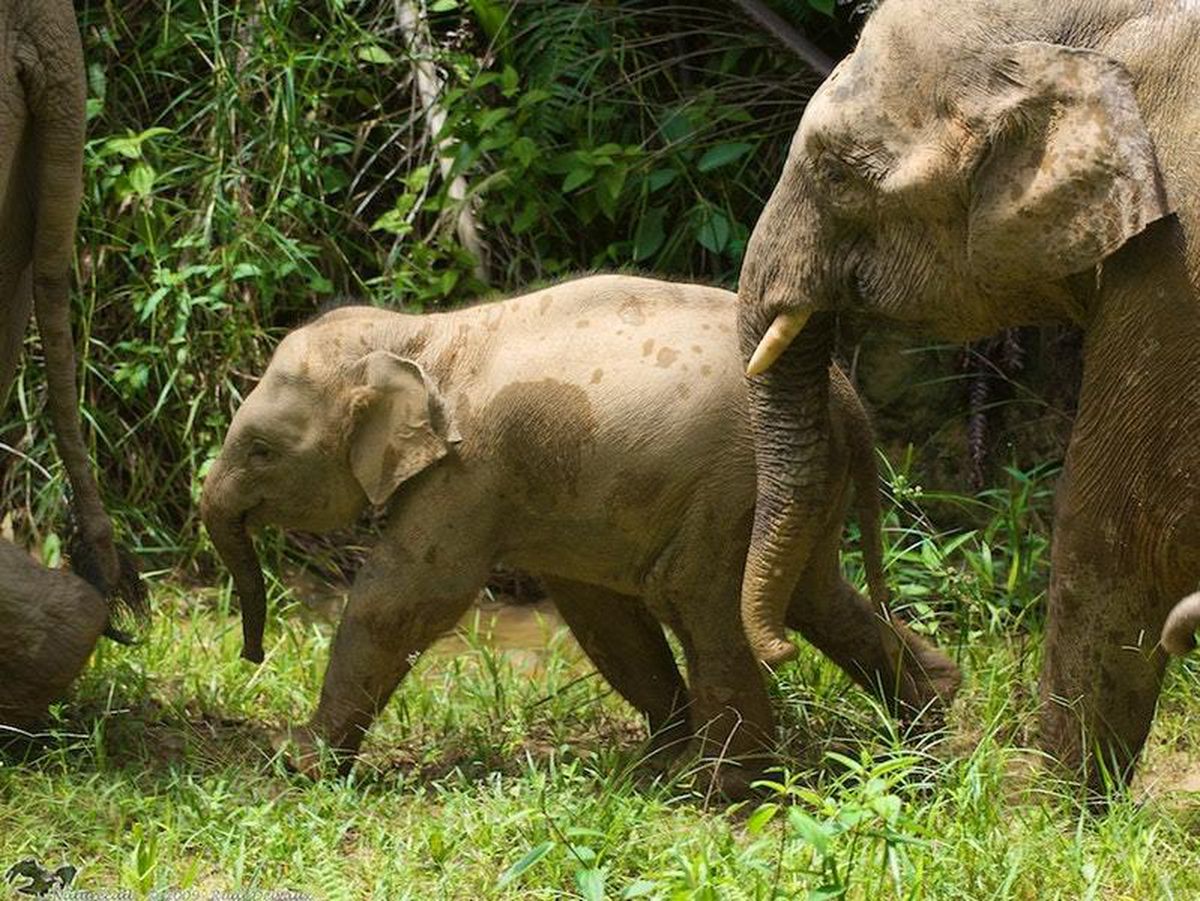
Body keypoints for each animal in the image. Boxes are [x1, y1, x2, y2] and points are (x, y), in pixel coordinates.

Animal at [201, 274, 960, 796]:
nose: (251, 655)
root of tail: (846, 396)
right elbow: (595, 610)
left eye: (262, 451)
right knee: (812, 593)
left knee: (698, 597)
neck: (416, 333)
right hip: (795, 486)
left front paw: (298, 763)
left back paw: (717, 788)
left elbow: (405, 598)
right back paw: (929, 730)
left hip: (736, 484)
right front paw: (648, 761)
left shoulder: (466, 472)